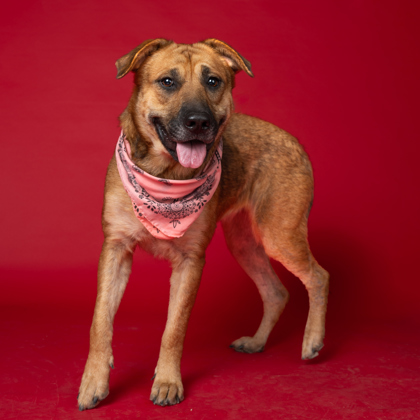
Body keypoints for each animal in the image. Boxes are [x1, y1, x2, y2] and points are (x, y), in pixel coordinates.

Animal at [78, 39, 329, 410]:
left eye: (213, 81)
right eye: (167, 82)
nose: (198, 122)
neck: (165, 180)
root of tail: (292, 139)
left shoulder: (191, 262)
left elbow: (174, 329)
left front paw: (168, 382)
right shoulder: (115, 250)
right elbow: (100, 322)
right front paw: (94, 382)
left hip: (279, 235)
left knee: (318, 276)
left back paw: (312, 340)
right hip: (244, 244)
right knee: (276, 291)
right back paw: (256, 342)